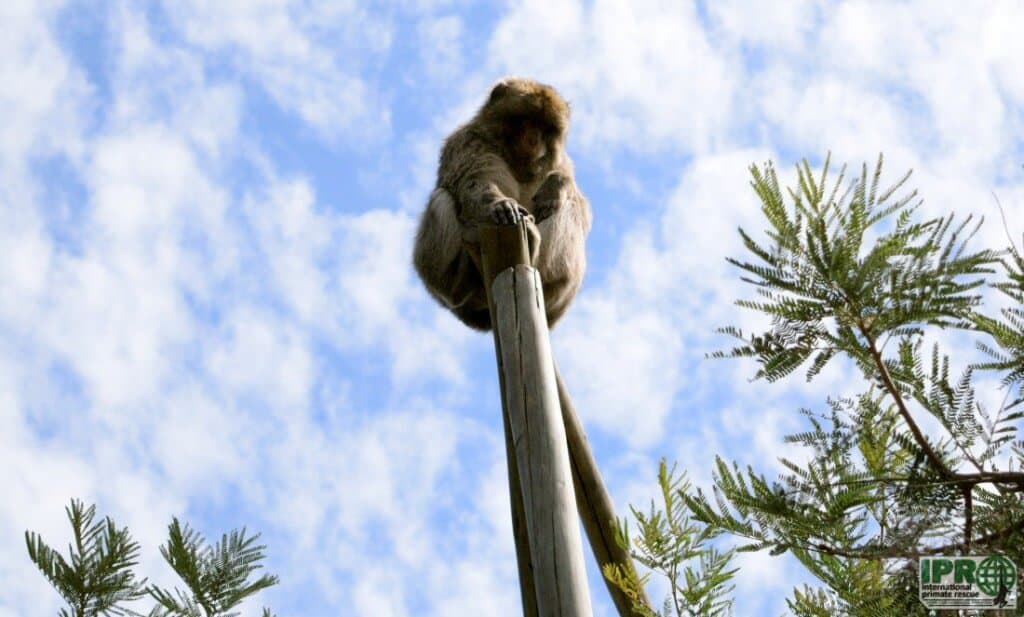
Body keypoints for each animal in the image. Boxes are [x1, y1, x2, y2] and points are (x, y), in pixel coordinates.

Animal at [413, 77, 591, 331]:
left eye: (544, 129)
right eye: (526, 121)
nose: (533, 139)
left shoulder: (560, 161)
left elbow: (581, 207)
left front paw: (556, 185)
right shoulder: (469, 141)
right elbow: (474, 181)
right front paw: (500, 207)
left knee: (569, 209)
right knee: (441, 198)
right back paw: (460, 282)